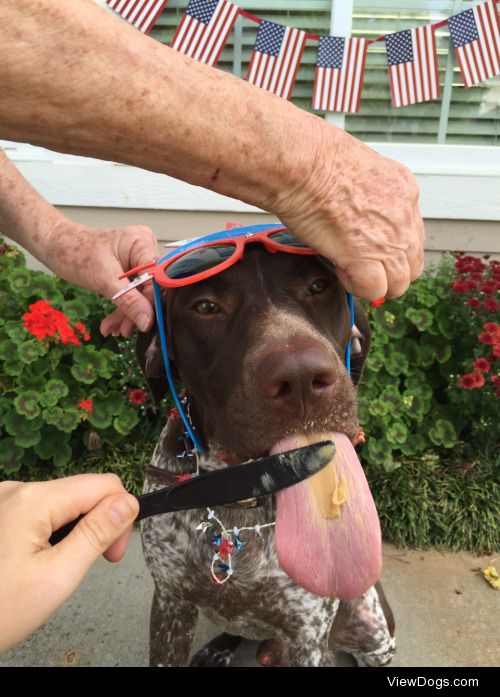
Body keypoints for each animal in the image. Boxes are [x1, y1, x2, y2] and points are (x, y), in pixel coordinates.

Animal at [137, 242, 394, 668]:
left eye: (318, 286)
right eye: (205, 306)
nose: (301, 379)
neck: (240, 499)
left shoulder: (309, 635)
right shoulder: (170, 604)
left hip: (373, 628)